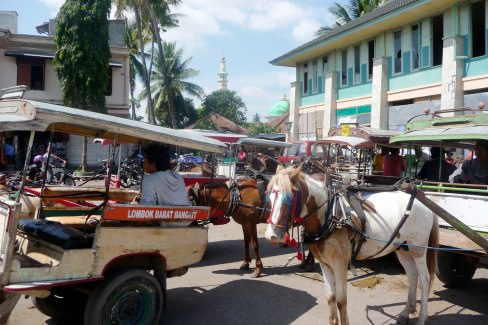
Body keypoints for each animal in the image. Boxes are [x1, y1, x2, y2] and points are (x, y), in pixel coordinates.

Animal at [264, 166, 440, 324]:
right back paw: (406, 312)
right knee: (412, 276)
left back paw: (422, 318)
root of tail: (424, 202)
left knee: (424, 279)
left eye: (289, 199)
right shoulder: (325, 264)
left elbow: (341, 302)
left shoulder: (340, 264)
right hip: (402, 248)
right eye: (269, 198)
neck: (331, 215)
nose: (270, 236)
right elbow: (331, 298)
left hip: (418, 248)